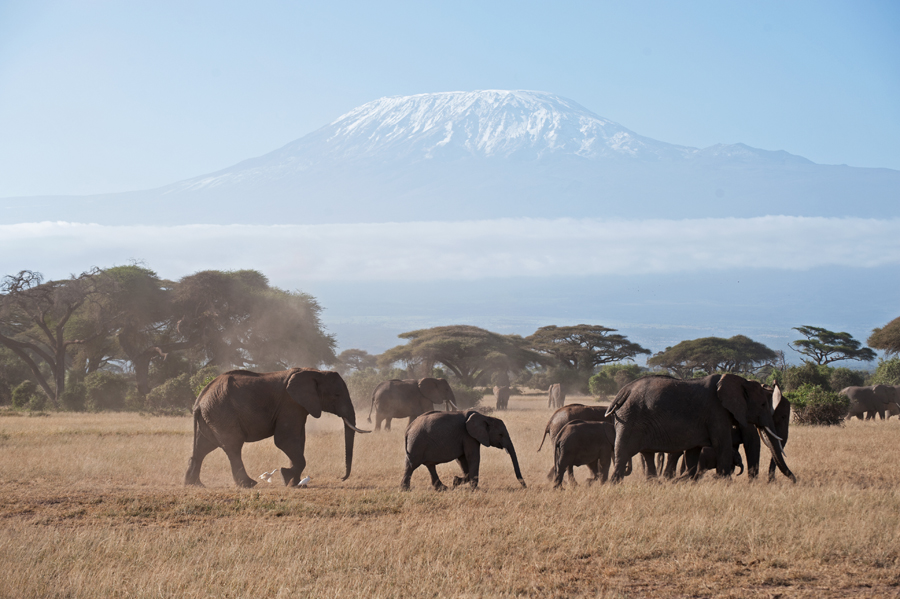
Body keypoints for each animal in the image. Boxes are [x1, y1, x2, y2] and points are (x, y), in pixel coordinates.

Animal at [400, 412, 528, 492]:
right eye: (500, 435)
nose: (525, 487)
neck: (485, 417)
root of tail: (409, 428)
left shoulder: (465, 437)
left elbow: (462, 459)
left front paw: (456, 481)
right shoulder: (469, 436)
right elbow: (473, 457)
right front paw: (473, 489)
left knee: (428, 465)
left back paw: (443, 488)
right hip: (417, 442)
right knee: (412, 465)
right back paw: (405, 490)